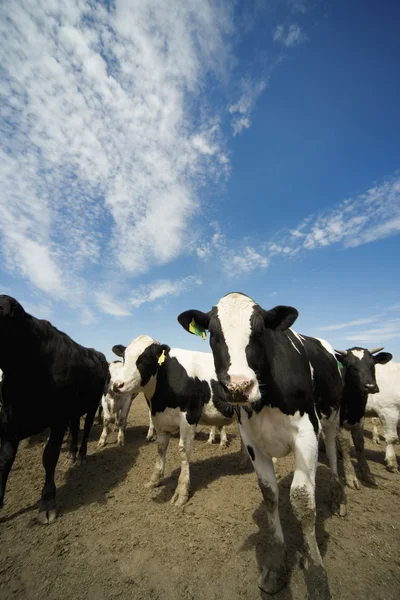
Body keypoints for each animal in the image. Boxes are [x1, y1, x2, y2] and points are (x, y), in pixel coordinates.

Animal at [0, 298, 109, 524]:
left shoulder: (58, 420)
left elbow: (49, 457)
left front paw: (48, 503)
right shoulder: (8, 424)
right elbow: (4, 462)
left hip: (91, 405)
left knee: (85, 429)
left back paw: (81, 455)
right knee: (75, 429)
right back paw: (72, 454)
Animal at [109, 332, 247, 506]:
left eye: (144, 358)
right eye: (124, 358)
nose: (117, 385)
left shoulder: (189, 418)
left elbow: (184, 452)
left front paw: (182, 492)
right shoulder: (160, 420)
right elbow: (160, 448)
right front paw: (154, 481)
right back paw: (243, 463)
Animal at [178, 292, 344, 600]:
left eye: (258, 332)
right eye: (214, 334)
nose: (238, 387)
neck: (267, 398)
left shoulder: (307, 433)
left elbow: (302, 500)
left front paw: (316, 575)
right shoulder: (252, 440)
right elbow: (270, 494)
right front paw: (277, 566)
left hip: (332, 417)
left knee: (334, 453)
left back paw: (340, 498)